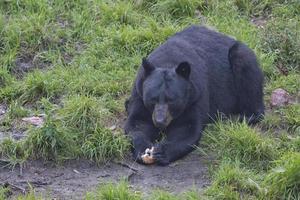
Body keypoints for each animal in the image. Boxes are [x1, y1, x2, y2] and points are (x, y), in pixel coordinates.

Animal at [123, 25, 264, 166]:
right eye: (152, 99)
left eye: (172, 101)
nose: (160, 121)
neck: (168, 61)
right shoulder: (139, 92)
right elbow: (138, 122)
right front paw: (143, 150)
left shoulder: (195, 95)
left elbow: (187, 127)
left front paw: (161, 152)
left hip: (239, 60)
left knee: (248, 75)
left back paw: (241, 117)